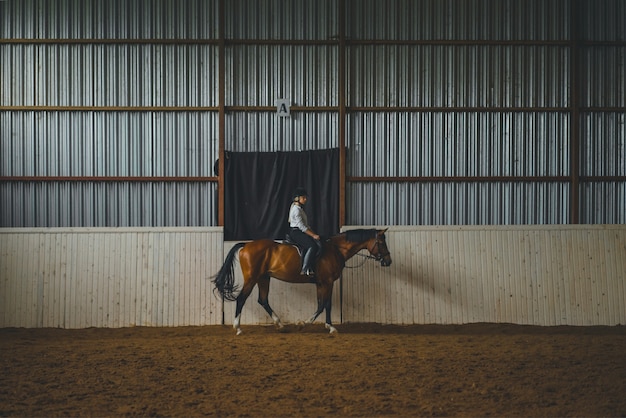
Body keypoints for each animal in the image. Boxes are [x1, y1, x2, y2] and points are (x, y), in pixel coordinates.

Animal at [213, 230, 390, 334]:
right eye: (381, 242)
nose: (388, 261)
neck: (335, 250)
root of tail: (247, 245)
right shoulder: (328, 282)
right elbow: (325, 304)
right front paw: (308, 324)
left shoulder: (321, 283)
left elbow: (322, 304)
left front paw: (326, 325)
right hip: (252, 279)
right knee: (241, 299)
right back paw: (238, 328)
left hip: (264, 278)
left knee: (263, 300)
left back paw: (280, 324)